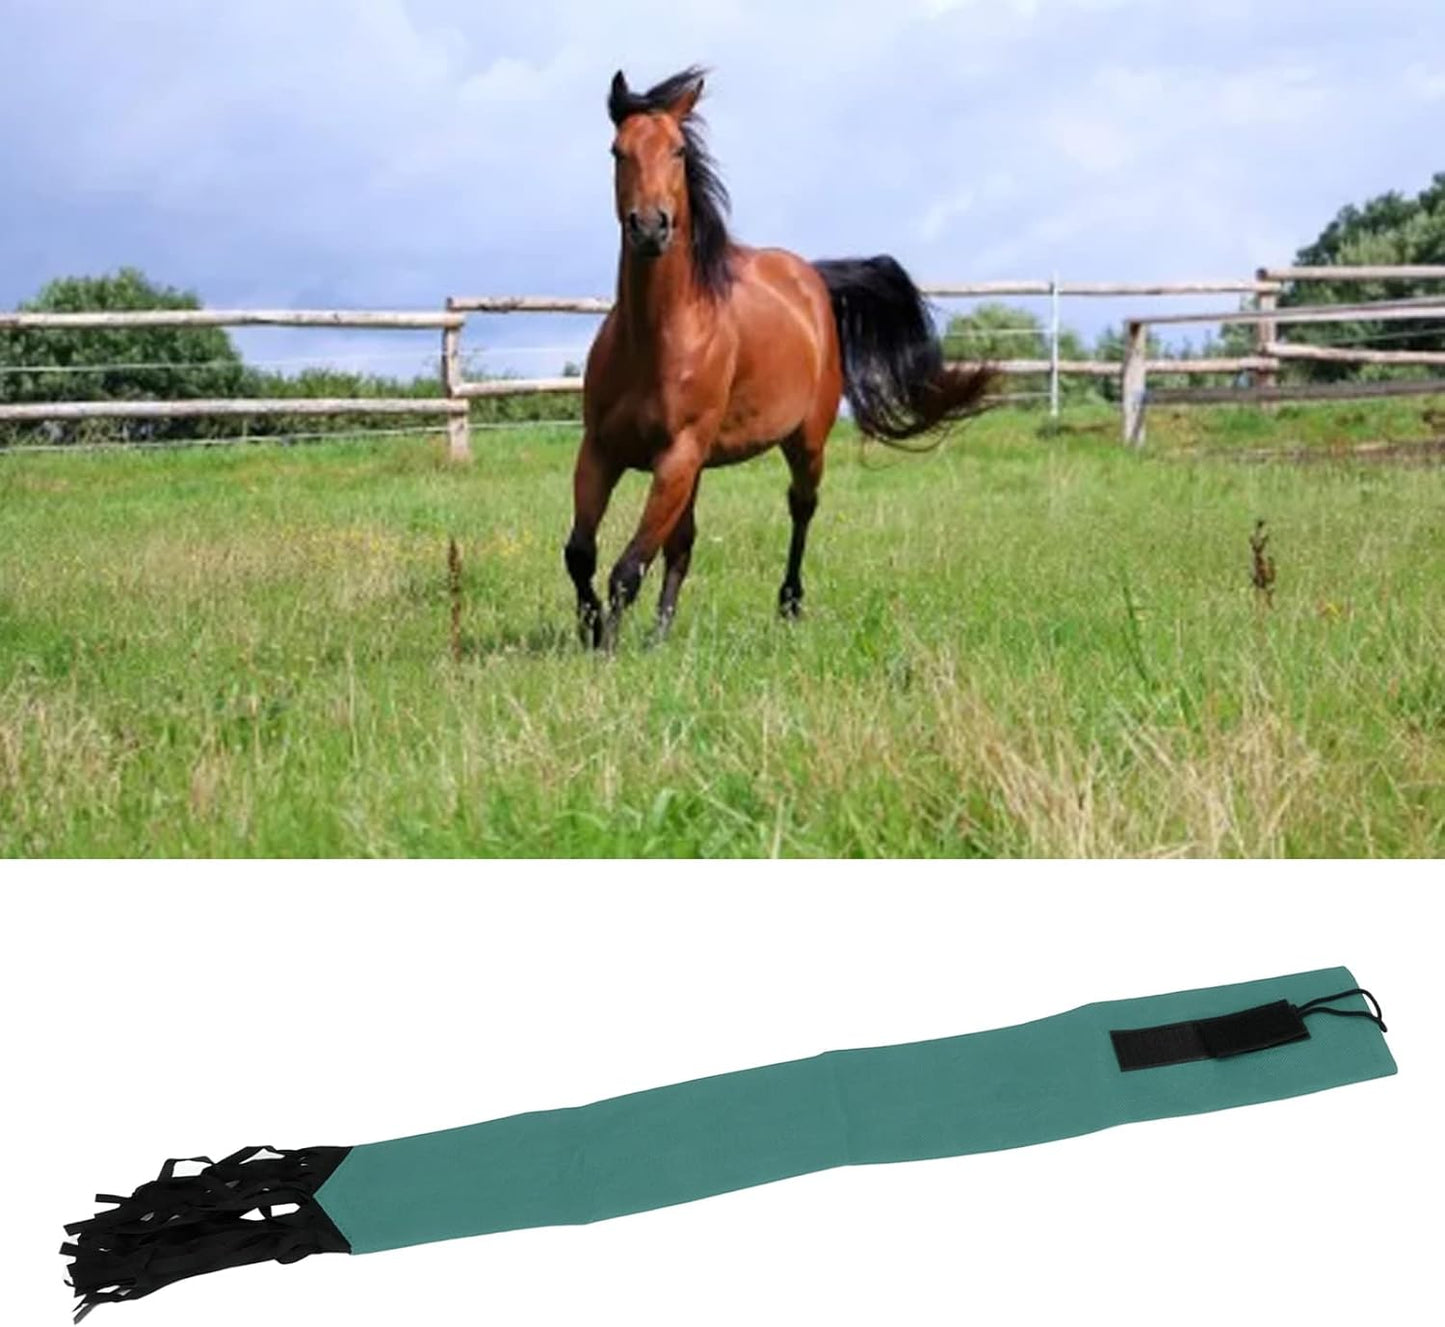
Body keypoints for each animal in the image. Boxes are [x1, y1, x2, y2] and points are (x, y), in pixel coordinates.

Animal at [565, 66, 993, 650]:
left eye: (678, 151)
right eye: (617, 151)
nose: (650, 226)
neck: (655, 338)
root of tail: (811, 277)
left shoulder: (676, 456)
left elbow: (627, 568)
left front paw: (606, 649)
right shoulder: (603, 450)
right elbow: (581, 554)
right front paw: (592, 631)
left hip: (805, 441)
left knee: (801, 507)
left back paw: (789, 605)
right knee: (683, 544)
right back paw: (660, 635)